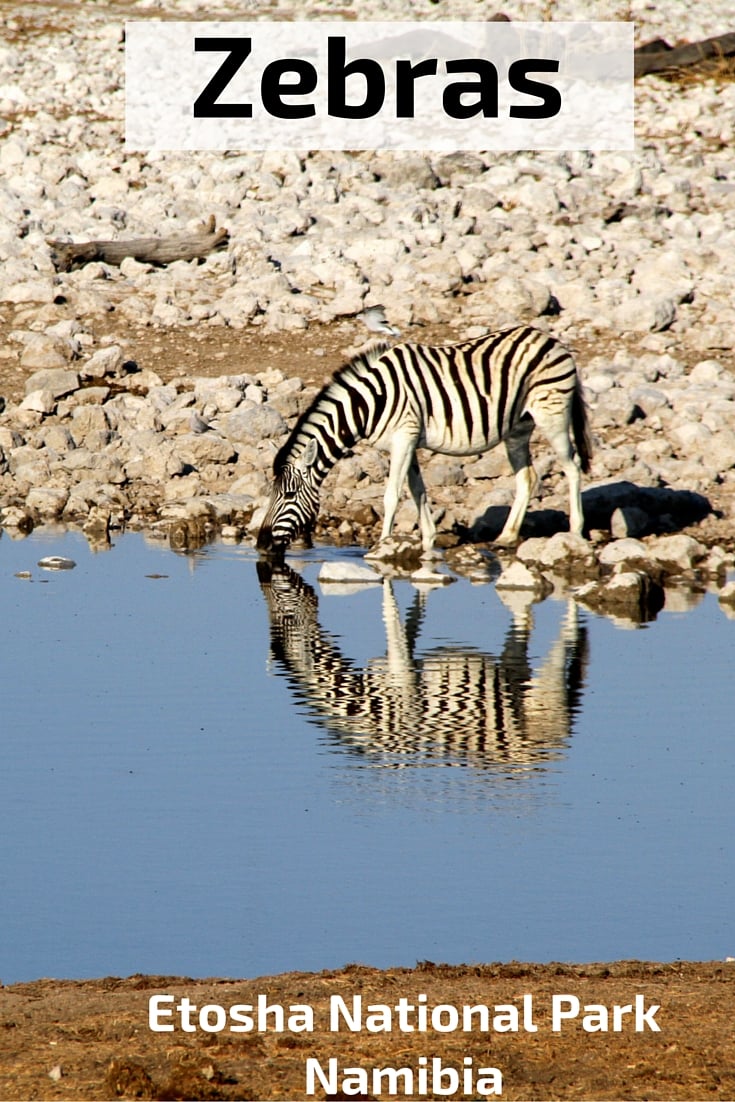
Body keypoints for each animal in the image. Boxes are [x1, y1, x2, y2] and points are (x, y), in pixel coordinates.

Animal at [257, 321, 590, 555]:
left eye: (288, 495)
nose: (261, 545)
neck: (369, 403)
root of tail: (551, 340)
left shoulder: (404, 437)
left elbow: (392, 494)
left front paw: (381, 546)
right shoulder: (409, 441)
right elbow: (418, 491)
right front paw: (428, 540)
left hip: (553, 414)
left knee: (572, 466)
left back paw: (575, 531)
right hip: (518, 427)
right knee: (528, 477)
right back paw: (506, 536)